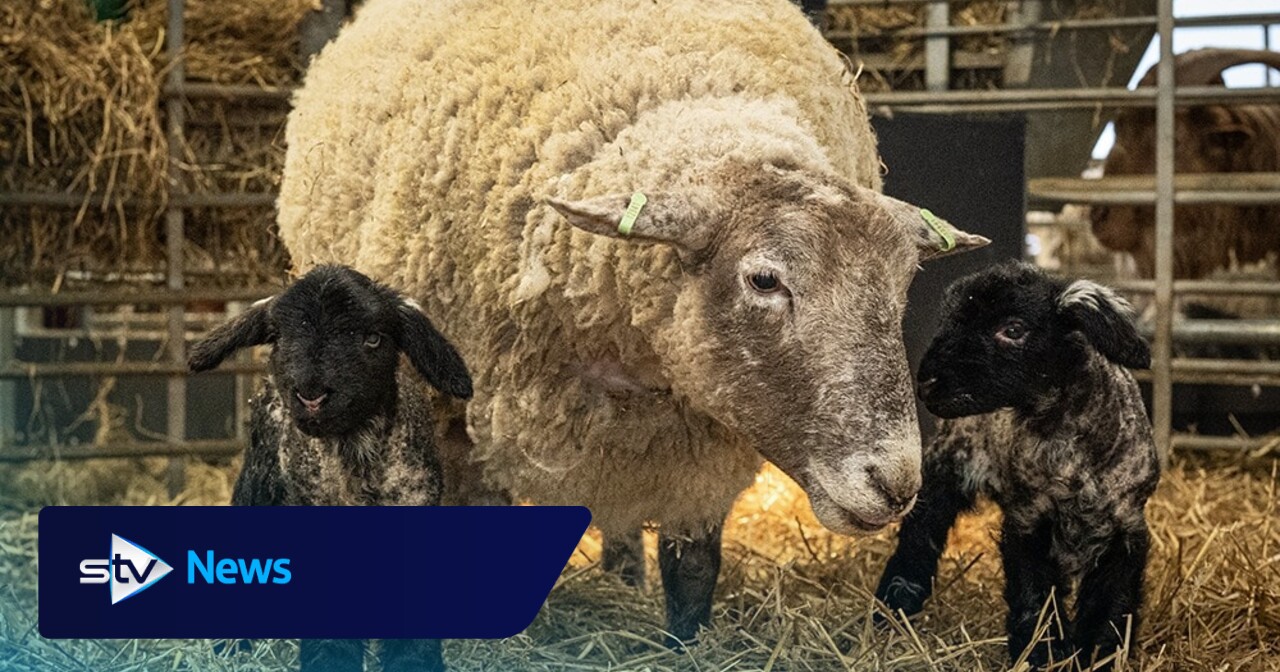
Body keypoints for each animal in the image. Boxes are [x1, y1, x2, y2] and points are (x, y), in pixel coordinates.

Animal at [275, 0, 989, 643]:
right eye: (764, 280)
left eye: (902, 285)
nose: (896, 484)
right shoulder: (458, 421)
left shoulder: (700, 448)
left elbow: (693, 568)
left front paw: (683, 645)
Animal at [874, 262, 1159, 670]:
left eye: (1013, 329)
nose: (927, 383)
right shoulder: (1027, 521)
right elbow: (1034, 597)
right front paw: (1042, 654)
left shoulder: (1125, 527)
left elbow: (1111, 605)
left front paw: (1098, 655)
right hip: (948, 461)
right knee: (921, 531)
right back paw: (895, 603)